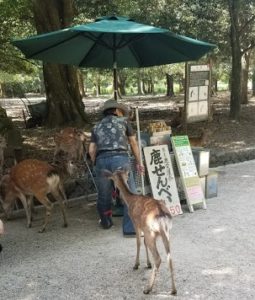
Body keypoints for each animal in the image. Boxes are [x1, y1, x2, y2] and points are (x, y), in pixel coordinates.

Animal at [102, 166, 176, 296]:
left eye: (113, 179)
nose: (115, 193)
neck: (130, 200)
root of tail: (161, 214)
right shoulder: (143, 227)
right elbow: (144, 243)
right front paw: (147, 264)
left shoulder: (135, 223)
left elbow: (138, 242)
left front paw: (136, 265)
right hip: (165, 232)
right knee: (169, 256)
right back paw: (173, 290)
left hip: (151, 231)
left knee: (158, 258)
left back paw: (148, 289)